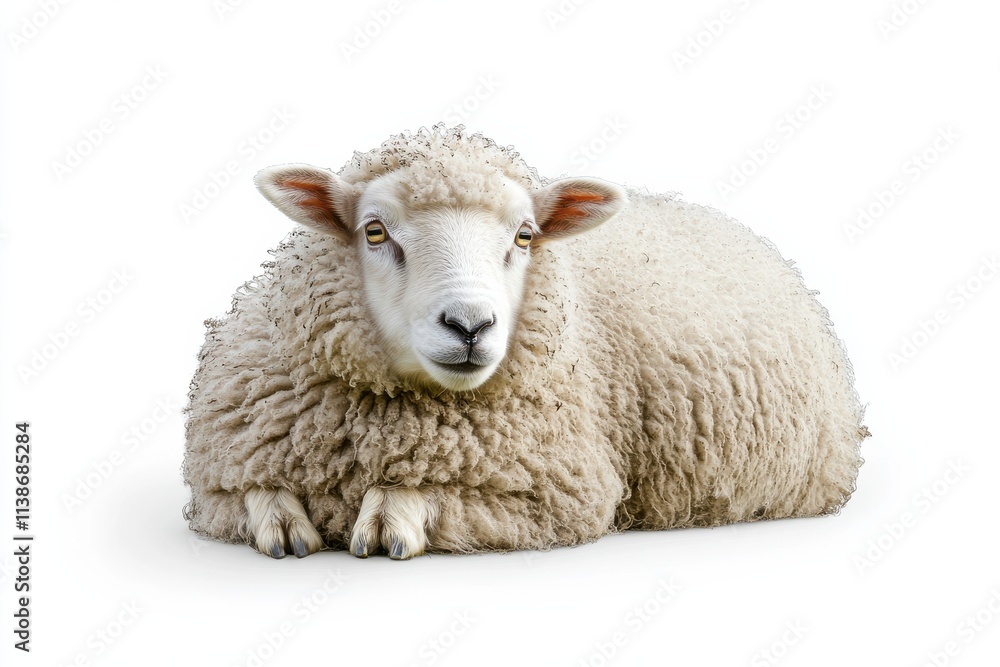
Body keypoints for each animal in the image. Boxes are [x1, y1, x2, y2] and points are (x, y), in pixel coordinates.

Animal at [183, 125, 867, 559]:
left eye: (525, 236)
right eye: (374, 232)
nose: (469, 326)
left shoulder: (552, 498)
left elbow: (429, 499)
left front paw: (390, 513)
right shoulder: (214, 490)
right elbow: (249, 495)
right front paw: (281, 519)